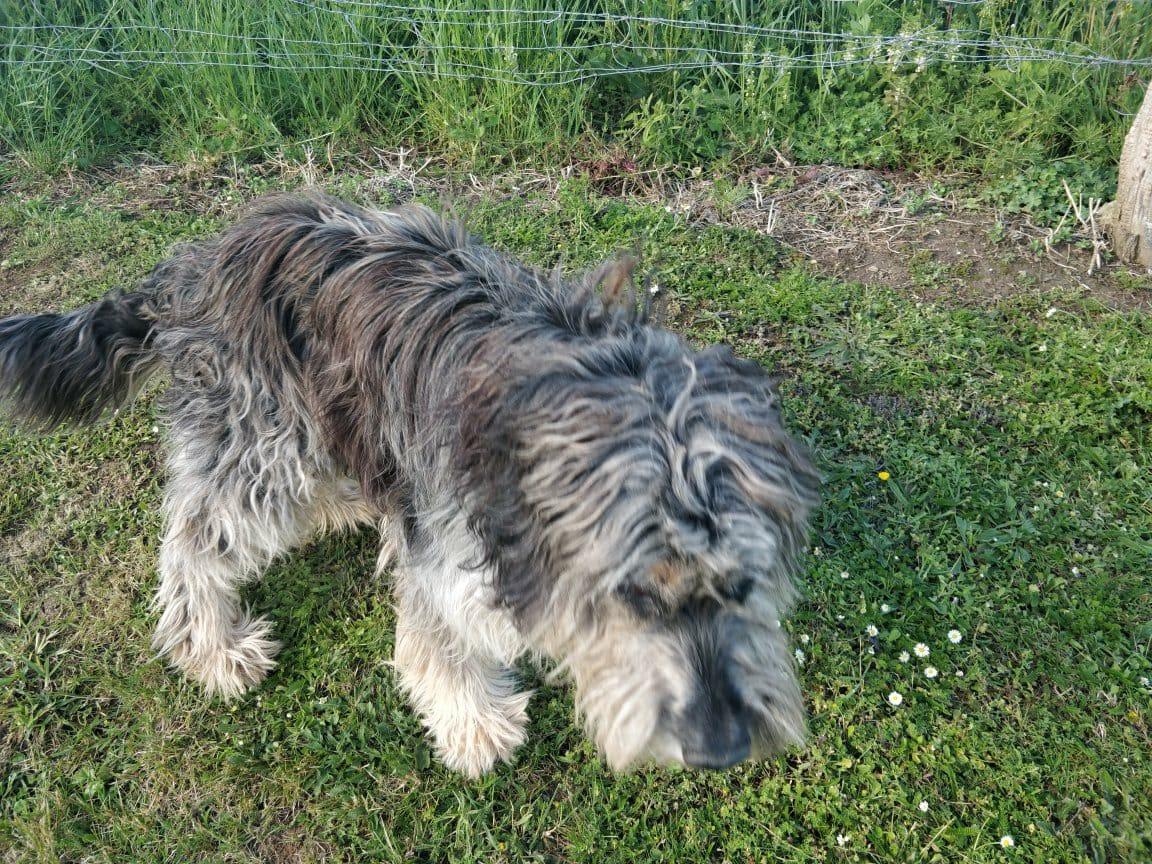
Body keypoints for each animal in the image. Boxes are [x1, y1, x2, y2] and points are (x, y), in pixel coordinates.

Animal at [0, 195, 820, 778]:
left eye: (743, 585)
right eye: (635, 596)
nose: (720, 751)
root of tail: (190, 270)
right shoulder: (443, 545)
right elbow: (439, 641)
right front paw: (476, 725)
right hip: (259, 437)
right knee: (194, 540)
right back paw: (214, 649)